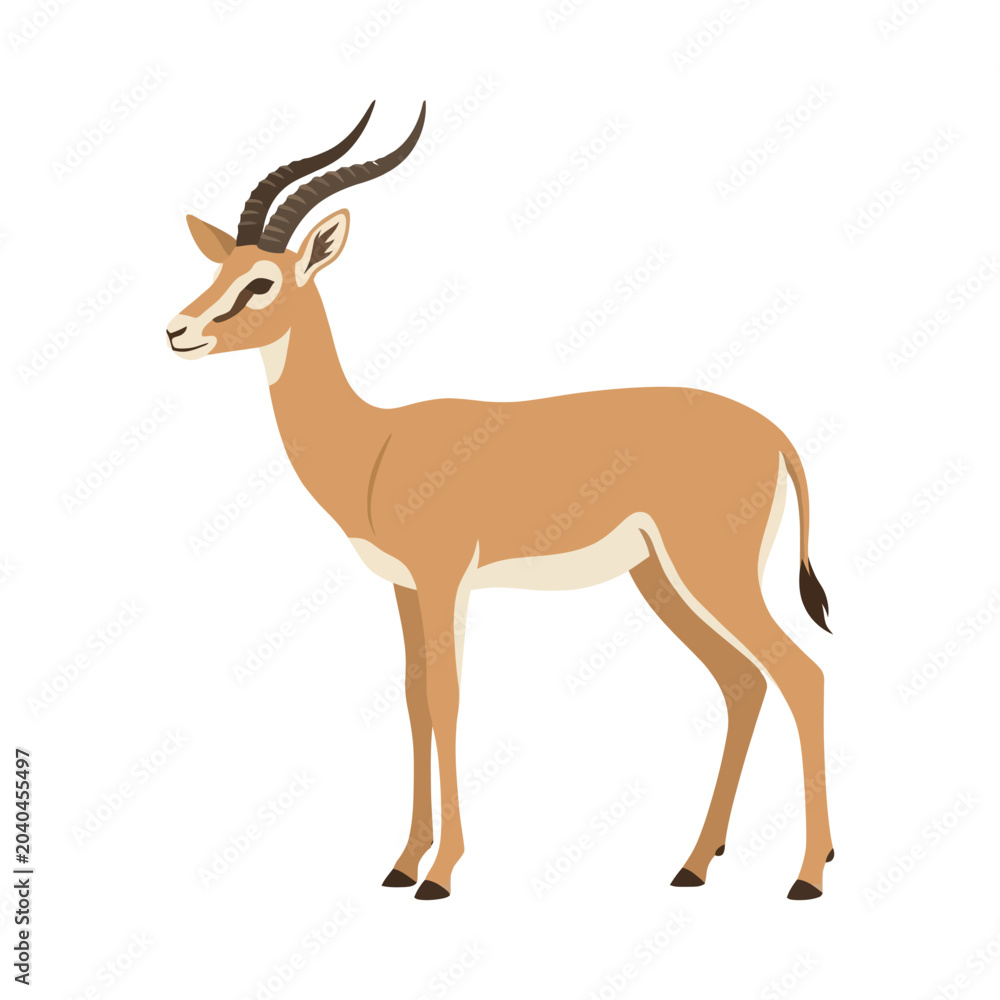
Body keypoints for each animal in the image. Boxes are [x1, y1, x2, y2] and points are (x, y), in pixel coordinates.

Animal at [167, 102, 834, 901]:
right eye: (221, 270)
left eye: (263, 282)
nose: (177, 331)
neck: (376, 445)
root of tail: (776, 434)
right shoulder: (404, 586)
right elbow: (413, 699)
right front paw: (402, 862)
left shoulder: (445, 576)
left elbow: (448, 697)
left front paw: (440, 874)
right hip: (661, 578)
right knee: (743, 682)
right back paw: (695, 864)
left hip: (713, 571)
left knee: (801, 675)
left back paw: (807, 876)